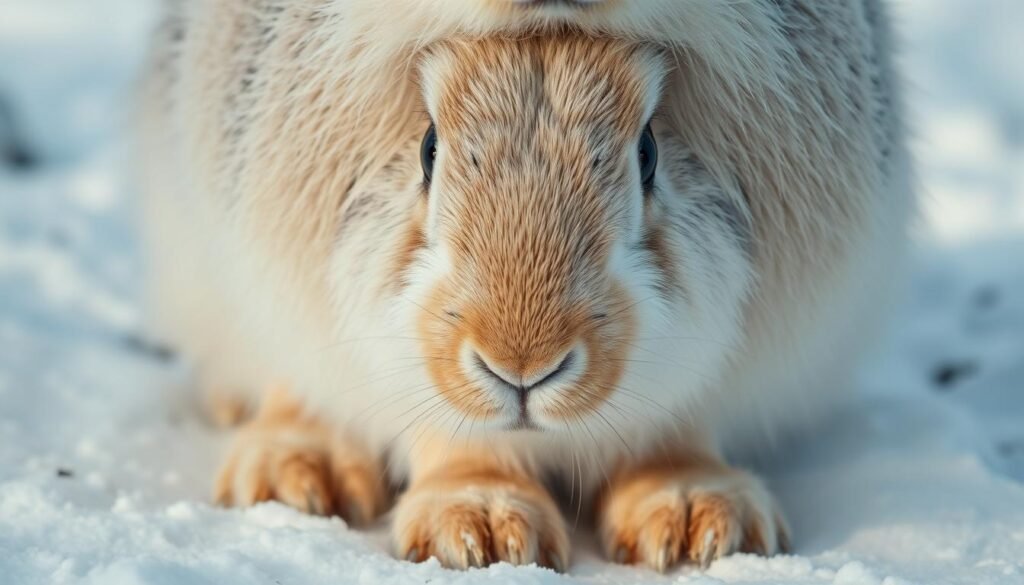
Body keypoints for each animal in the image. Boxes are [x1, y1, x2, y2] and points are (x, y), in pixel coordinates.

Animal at [137, 0, 912, 572]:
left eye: (648, 153)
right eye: (429, 149)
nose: (521, 361)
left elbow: (674, 422)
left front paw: (699, 516)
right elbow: (453, 433)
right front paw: (480, 531)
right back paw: (296, 474)